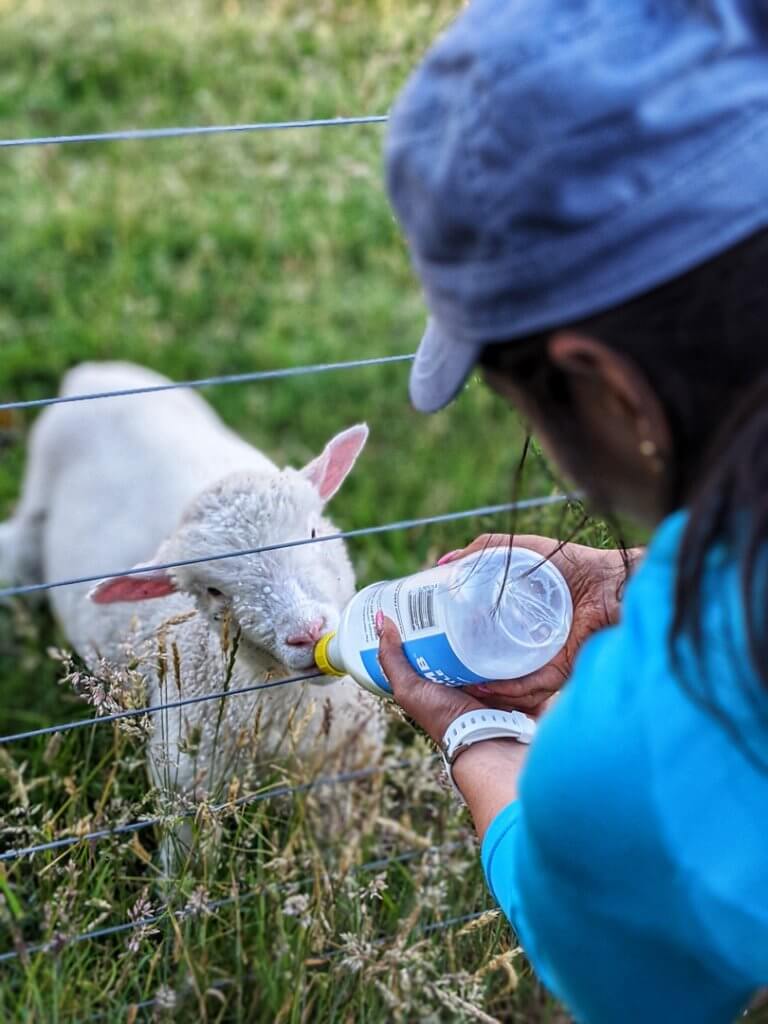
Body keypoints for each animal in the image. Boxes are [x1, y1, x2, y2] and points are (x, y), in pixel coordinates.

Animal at [0, 364, 385, 868]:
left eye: (314, 531)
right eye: (213, 591)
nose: (307, 632)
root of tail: (88, 375)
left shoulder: (343, 773)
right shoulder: (187, 786)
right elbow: (190, 871)